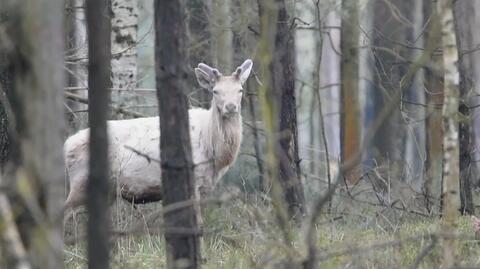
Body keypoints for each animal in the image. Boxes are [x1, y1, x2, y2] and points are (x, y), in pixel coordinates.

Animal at [64, 59, 253, 214]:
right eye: (215, 91)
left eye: (240, 90)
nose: (230, 106)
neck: (215, 154)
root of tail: (66, 145)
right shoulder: (193, 178)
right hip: (81, 181)